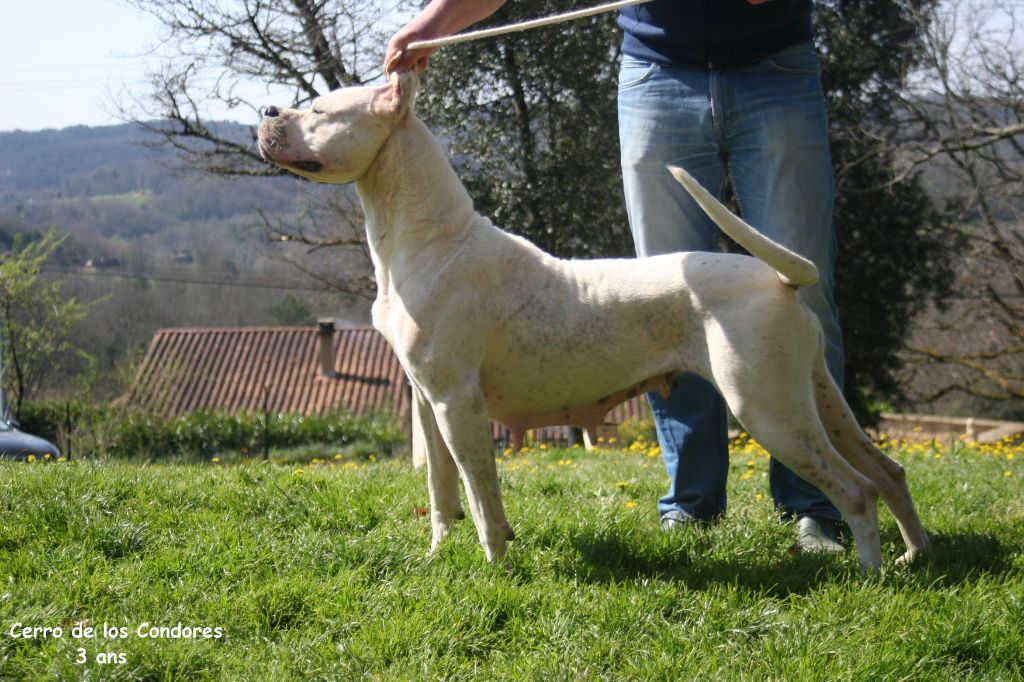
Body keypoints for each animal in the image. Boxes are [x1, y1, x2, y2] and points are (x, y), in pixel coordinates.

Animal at [260, 70, 933, 569]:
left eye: (318, 109)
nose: (266, 110)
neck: (431, 238)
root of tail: (783, 278)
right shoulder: (428, 404)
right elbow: (443, 494)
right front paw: (436, 557)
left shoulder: (458, 405)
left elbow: (482, 498)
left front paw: (495, 571)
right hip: (816, 398)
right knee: (889, 471)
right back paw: (913, 557)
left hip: (767, 408)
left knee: (856, 489)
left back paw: (870, 574)